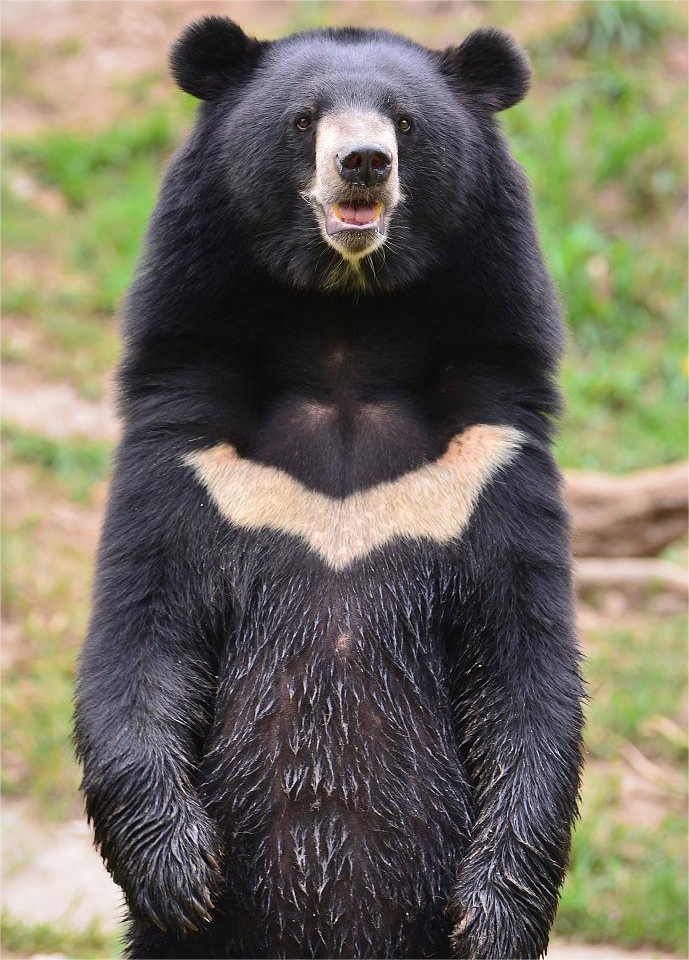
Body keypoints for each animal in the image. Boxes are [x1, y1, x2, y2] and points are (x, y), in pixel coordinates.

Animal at [74, 13, 580, 960]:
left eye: (405, 122)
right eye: (303, 119)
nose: (364, 163)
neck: (345, 325)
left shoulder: (490, 460)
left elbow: (526, 671)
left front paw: (492, 919)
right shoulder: (185, 454)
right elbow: (138, 638)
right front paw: (179, 873)